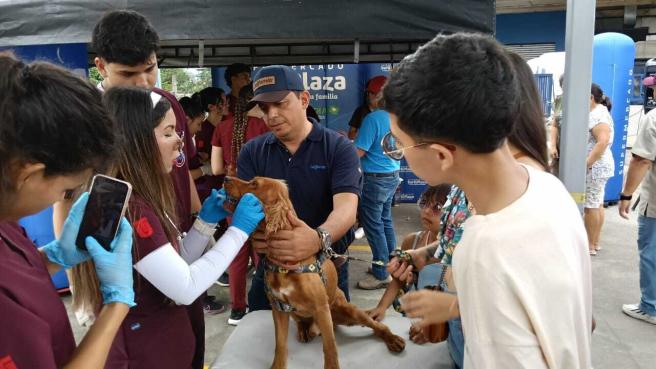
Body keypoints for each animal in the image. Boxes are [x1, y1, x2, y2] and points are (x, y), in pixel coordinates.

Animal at [224, 175, 404, 368]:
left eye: (254, 184)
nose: (225, 178)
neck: (285, 265)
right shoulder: (279, 308)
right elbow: (280, 345)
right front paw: (277, 365)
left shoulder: (321, 309)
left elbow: (330, 347)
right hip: (295, 313)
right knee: (303, 322)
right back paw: (304, 330)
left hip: (348, 311)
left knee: (377, 326)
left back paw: (393, 340)